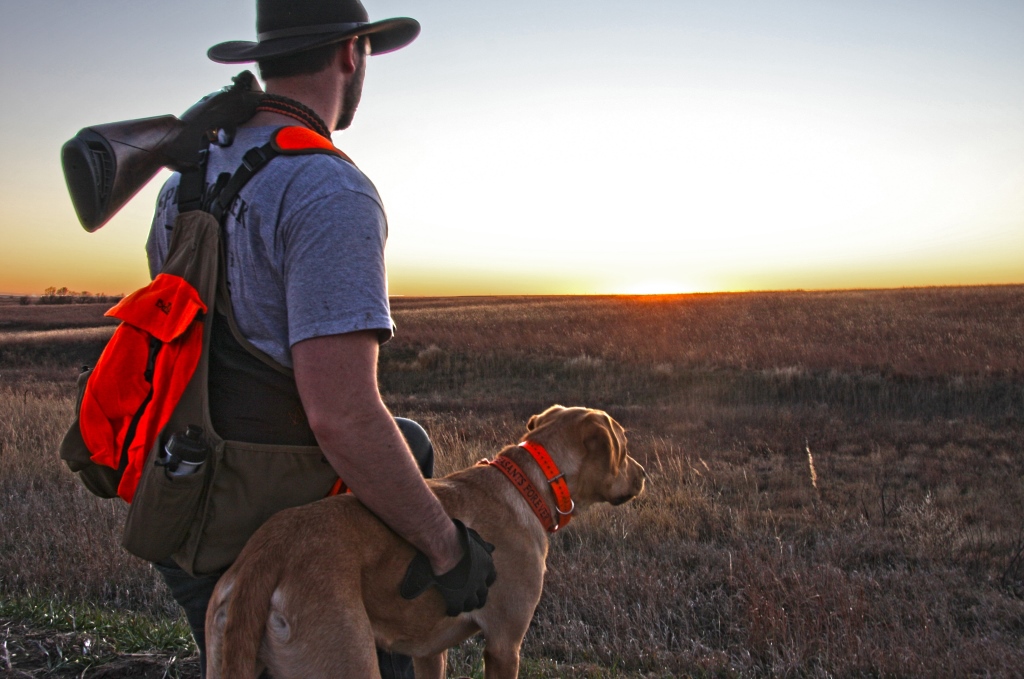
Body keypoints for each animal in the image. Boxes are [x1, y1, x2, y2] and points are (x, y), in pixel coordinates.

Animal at [203, 405, 643, 675]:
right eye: (623, 445)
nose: (644, 474)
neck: (529, 484)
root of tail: (268, 553)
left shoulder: (430, 650)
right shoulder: (504, 644)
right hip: (346, 660)